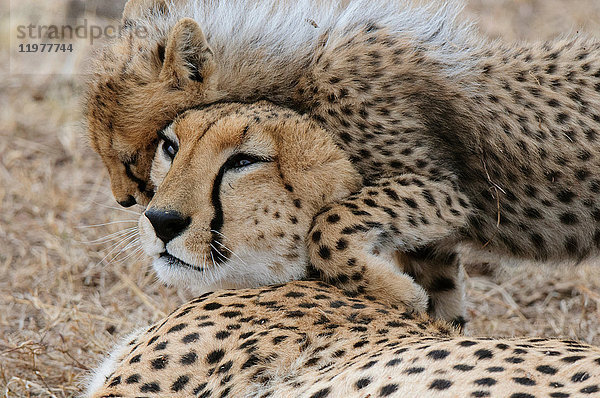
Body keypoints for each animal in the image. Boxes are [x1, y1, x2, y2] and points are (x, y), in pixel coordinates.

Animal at [85, 0, 600, 324]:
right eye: (170, 147)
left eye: (128, 157)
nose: (131, 203)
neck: (291, 69)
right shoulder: (430, 234)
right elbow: (438, 287)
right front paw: (422, 311)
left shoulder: (446, 191)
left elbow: (327, 227)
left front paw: (399, 296)